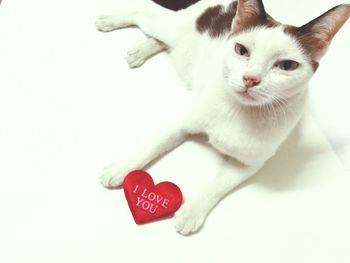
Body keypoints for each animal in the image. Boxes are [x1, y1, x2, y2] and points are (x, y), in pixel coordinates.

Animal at [95, 0, 350, 235]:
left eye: (287, 65)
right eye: (241, 50)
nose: (250, 79)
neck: (240, 110)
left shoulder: (248, 164)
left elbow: (217, 186)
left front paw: (192, 210)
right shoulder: (183, 123)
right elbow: (154, 145)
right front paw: (122, 168)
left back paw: (141, 50)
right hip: (169, 27)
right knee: (141, 14)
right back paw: (110, 21)